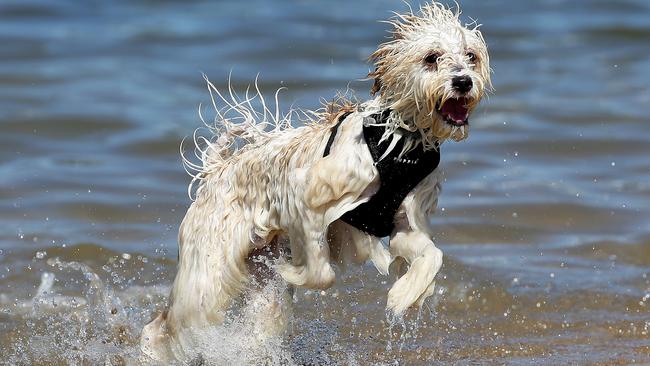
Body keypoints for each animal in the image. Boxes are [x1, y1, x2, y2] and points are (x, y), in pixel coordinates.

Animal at [139, 2, 488, 364]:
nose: (463, 82)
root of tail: (217, 169)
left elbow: (432, 255)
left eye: (471, 56)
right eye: (432, 57)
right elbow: (322, 274)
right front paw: (293, 271)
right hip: (208, 276)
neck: (401, 143)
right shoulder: (306, 198)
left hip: (256, 283)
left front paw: (405, 295)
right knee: (160, 327)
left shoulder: (407, 225)